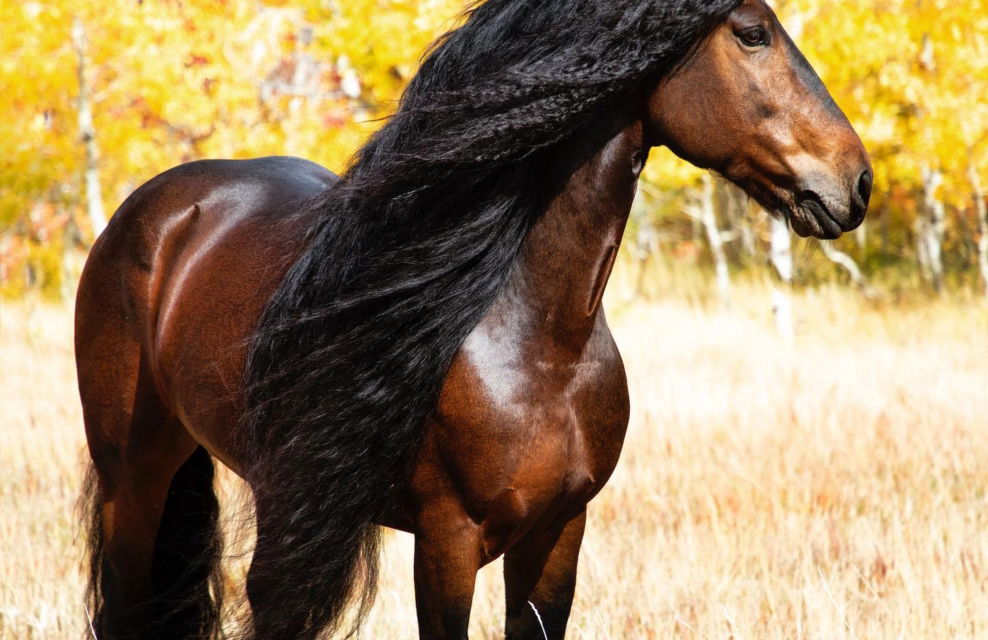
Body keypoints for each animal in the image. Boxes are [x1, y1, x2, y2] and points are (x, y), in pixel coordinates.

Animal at [75, 0, 871, 638]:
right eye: (752, 33)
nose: (856, 181)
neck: (539, 344)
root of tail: (161, 208)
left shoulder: (558, 534)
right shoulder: (447, 541)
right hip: (133, 480)